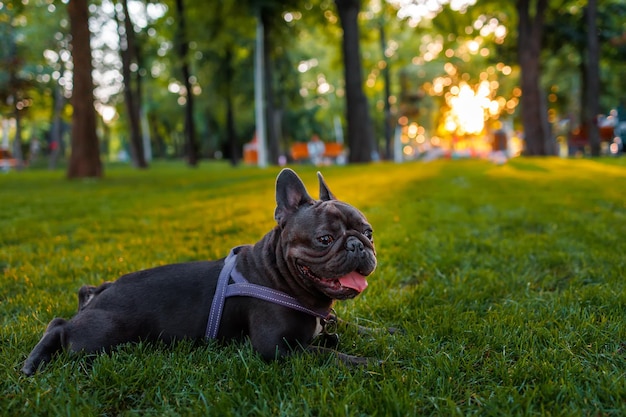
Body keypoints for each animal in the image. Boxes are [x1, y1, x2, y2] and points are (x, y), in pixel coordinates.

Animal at [22, 167, 376, 376]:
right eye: (325, 239)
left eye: (368, 232)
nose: (357, 245)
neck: (281, 276)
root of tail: (102, 290)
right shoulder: (278, 348)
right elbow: (328, 354)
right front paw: (371, 363)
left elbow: (354, 327)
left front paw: (383, 334)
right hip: (102, 336)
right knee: (61, 328)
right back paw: (33, 362)